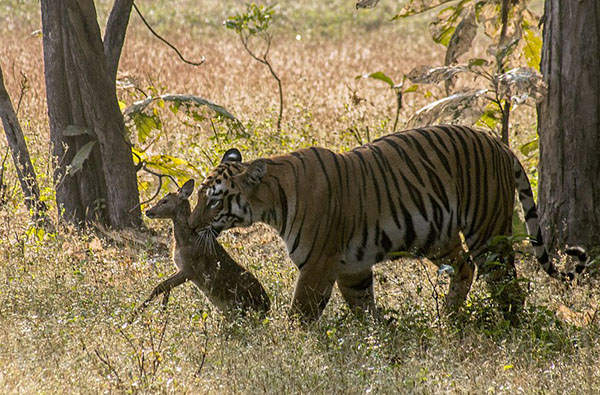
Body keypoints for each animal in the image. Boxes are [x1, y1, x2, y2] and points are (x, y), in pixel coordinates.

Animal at [190, 125, 588, 324]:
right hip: (435, 235)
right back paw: (449, 320)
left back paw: (509, 326)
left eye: (214, 200)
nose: (191, 227)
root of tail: (499, 144)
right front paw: (375, 339)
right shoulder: (351, 267)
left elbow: (300, 314)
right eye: (198, 197)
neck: (271, 201)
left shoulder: (317, 266)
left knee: (507, 284)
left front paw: (286, 347)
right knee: (465, 267)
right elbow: (364, 306)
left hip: (486, 231)